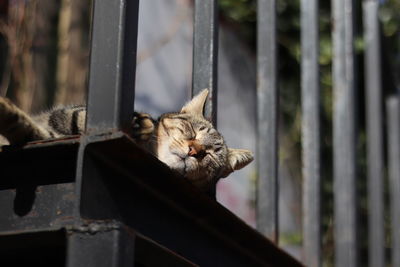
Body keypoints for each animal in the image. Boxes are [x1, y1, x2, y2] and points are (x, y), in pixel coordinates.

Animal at [0, 90, 253, 191]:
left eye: (208, 155)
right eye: (191, 132)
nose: (194, 151)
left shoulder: (44, 134)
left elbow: (28, 130)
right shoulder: (68, 114)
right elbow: (78, 116)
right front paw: (142, 123)